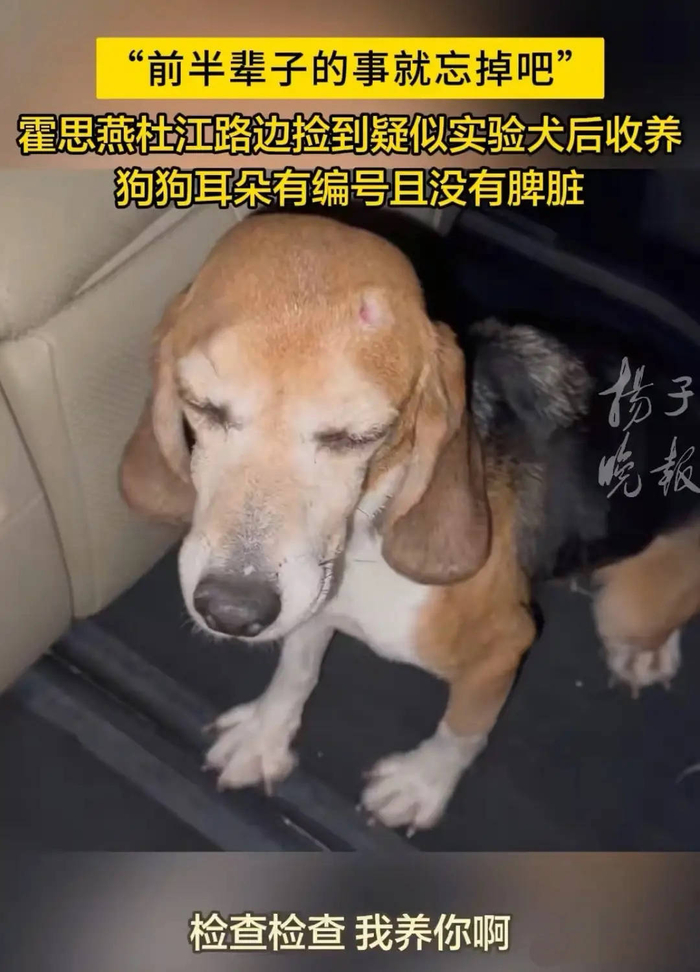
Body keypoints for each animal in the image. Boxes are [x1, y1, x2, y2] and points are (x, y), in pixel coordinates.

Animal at [120, 211, 700, 834]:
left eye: (359, 436)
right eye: (201, 405)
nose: (231, 611)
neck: (368, 531)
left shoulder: (504, 646)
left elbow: (461, 733)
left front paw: (422, 784)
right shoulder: (313, 597)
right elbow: (296, 669)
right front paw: (265, 735)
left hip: (626, 609)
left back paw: (648, 653)